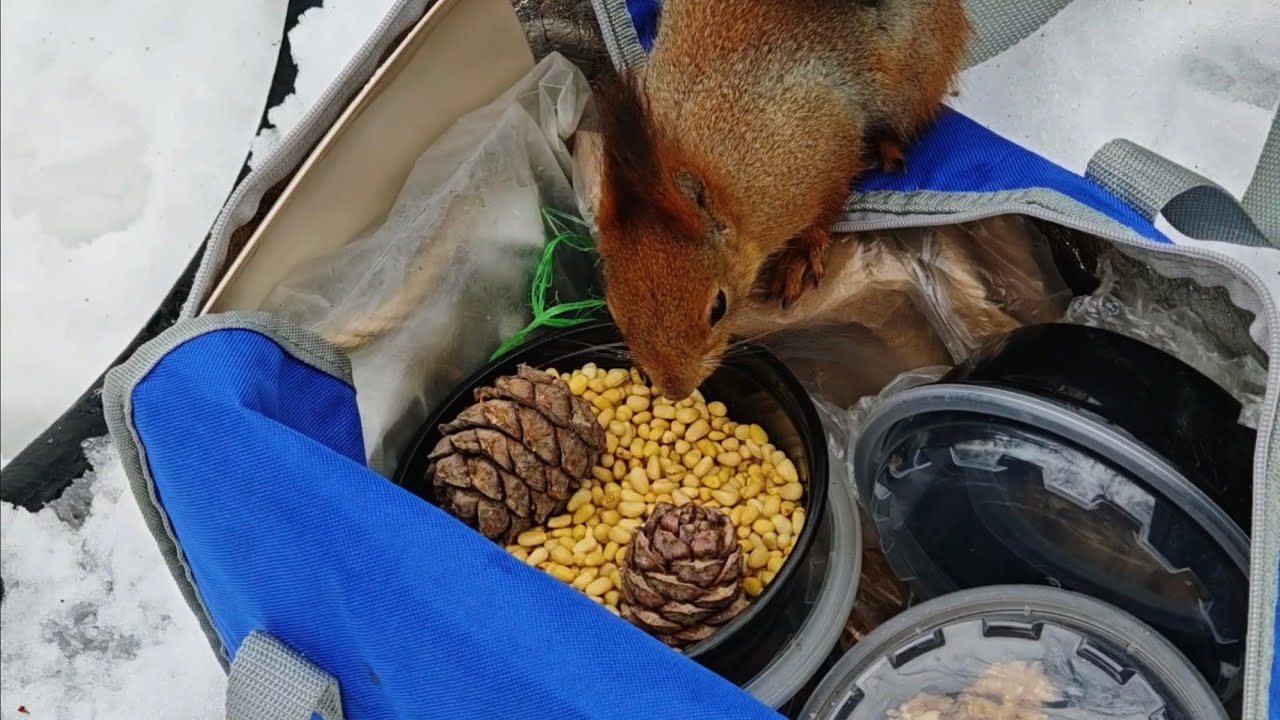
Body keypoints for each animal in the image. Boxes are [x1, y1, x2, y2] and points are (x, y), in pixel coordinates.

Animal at [593, 0, 970, 400]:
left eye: (719, 306)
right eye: (613, 309)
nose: (675, 389)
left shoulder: (827, 147)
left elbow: (829, 203)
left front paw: (801, 255)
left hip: (914, 71)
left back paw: (888, 148)